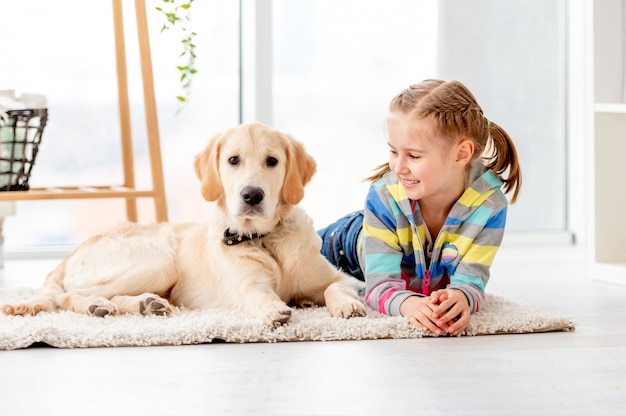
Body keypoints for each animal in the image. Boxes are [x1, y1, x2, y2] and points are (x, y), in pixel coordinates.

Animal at [2, 122, 366, 326]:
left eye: (272, 161)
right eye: (233, 160)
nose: (251, 195)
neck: (264, 238)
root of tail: (73, 251)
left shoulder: (339, 277)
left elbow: (335, 287)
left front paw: (347, 305)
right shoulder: (248, 285)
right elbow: (259, 295)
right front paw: (273, 310)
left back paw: (145, 304)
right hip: (159, 260)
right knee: (67, 295)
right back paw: (96, 305)